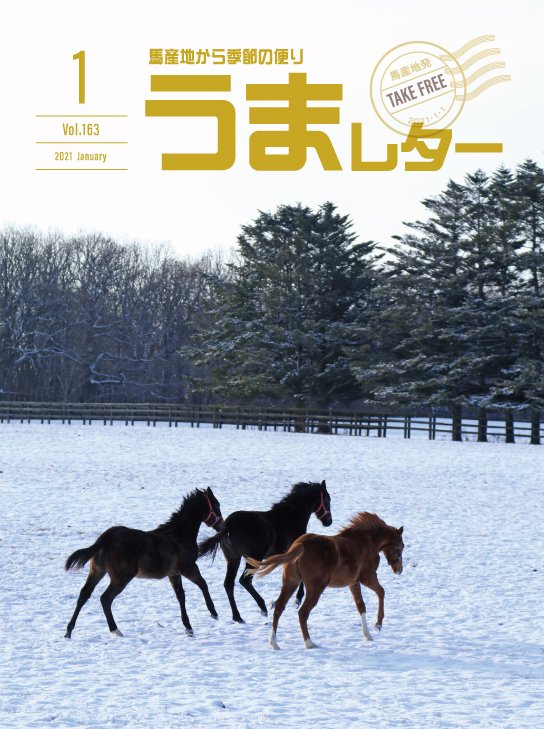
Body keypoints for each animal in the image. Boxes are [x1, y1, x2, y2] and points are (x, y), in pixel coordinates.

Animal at [64, 487, 224, 638]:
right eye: (216, 505)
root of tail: (105, 538)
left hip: (97, 571)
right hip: (121, 578)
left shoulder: (174, 573)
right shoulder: (188, 567)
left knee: (84, 594)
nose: (222, 526)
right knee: (105, 599)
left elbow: (181, 596)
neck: (179, 535)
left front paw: (188, 628)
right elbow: (203, 584)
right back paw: (116, 630)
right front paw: (214, 613)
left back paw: (68, 632)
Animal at [198, 481, 332, 623]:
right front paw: (298, 599)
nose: (329, 521)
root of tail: (228, 526)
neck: (290, 517)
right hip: (254, 558)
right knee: (244, 580)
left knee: (229, 584)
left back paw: (238, 617)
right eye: (327, 499)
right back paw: (263, 607)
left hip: (233, 559)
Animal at [245, 512, 404, 650]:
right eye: (400, 547)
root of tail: (300, 545)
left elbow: (361, 606)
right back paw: (309, 643)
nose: (399, 570)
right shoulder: (367, 577)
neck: (366, 542)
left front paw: (368, 635)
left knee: (279, 607)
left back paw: (274, 643)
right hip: (315, 588)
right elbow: (381, 592)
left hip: (291, 583)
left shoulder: (353, 583)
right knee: (302, 612)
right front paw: (378, 624)